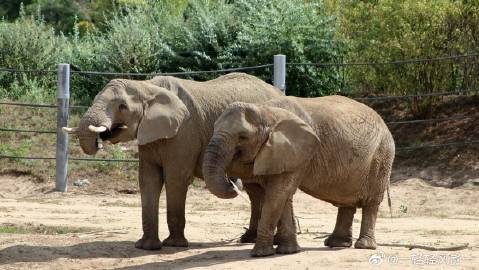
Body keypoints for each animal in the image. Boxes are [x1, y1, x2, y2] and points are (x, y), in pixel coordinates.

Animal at [204, 96, 396, 256]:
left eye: (242, 137)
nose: (232, 181)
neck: (267, 111)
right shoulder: (277, 154)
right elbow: (281, 196)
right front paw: (288, 251)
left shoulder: (297, 151)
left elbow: (277, 194)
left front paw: (260, 254)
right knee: (346, 201)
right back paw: (336, 244)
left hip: (381, 157)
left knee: (371, 202)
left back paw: (364, 246)